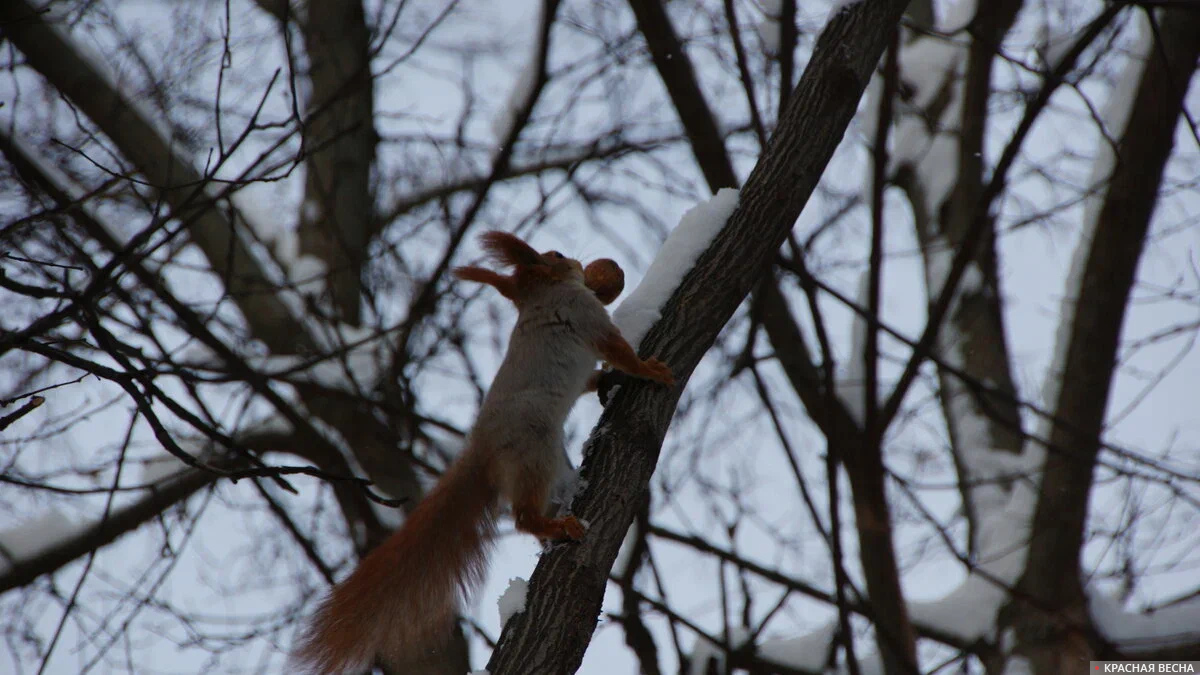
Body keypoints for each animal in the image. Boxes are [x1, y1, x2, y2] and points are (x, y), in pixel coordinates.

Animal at [296, 229, 676, 667]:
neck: (541, 295)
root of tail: (483, 451)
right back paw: (555, 526)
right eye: (557, 254)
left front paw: (602, 379)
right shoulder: (584, 314)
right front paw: (651, 370)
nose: (581, 263)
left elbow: (591, 376)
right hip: (535, 451)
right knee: (522, 516)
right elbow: (618, 350)